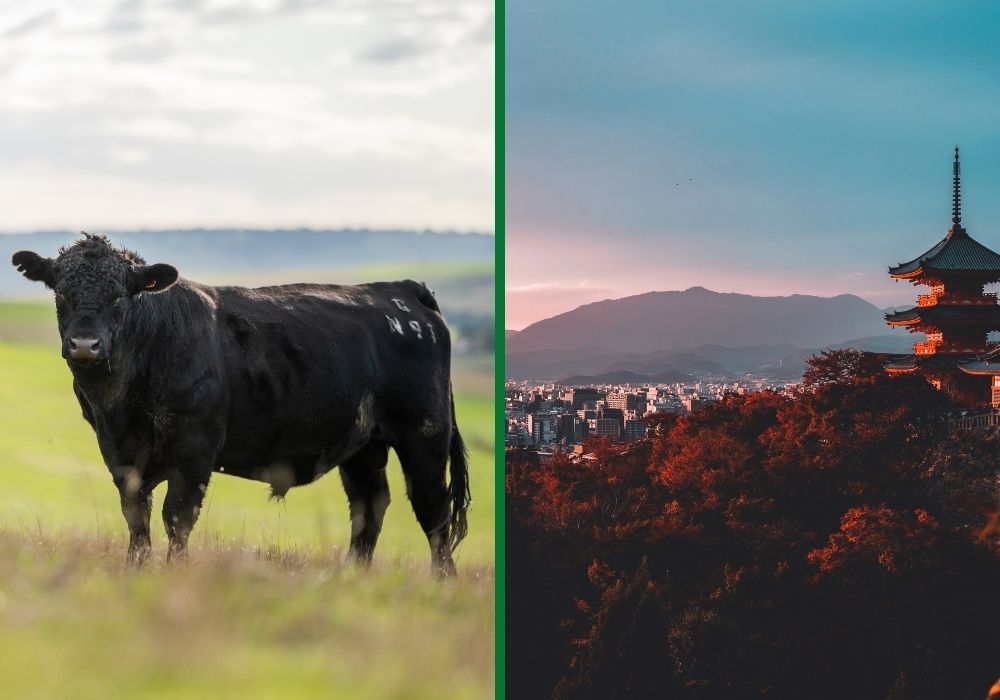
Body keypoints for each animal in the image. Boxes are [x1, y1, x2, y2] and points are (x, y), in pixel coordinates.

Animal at [11, 233, 470, 576]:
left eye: (120, 297)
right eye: (61, 292)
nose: (84, 344)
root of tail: (400, 289)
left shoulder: (195, 447)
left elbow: (177, 516)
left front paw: (176, 573)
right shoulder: (119, 451)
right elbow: (135, 514)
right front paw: (136, 568)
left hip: (424, 433)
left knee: (432, 507)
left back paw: (443, 582)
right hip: (363, 445)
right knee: (369, 506)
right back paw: (351, 576)